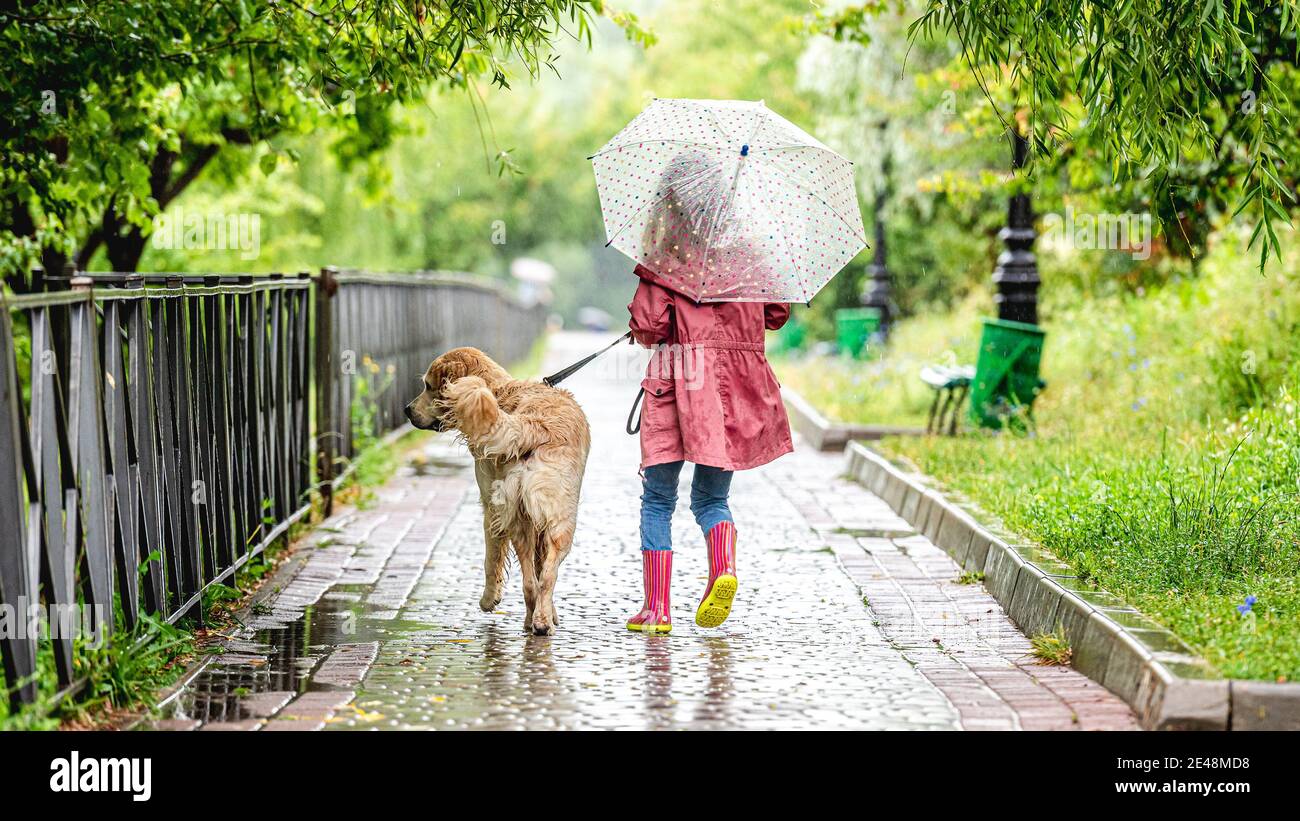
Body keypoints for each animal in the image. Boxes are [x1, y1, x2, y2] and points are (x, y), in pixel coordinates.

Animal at [403, 345, 592, 633]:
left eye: (428, 385)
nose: (407, 410)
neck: (498, 392)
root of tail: (534, 425)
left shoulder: (490, 506)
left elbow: (491, 559)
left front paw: (489, 599)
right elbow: (536, 567)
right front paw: (553, 613)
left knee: (536, 578)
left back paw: (535, 621)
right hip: (546, 521)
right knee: (539, 579)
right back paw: (538, 621)